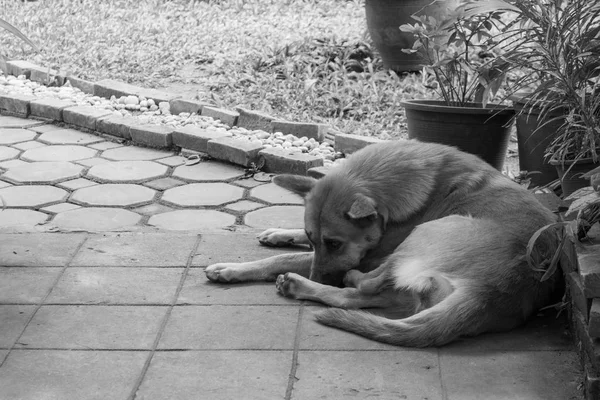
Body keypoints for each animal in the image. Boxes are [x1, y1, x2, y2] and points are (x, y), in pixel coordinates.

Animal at [204, 140, 560, 346]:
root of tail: (490, 292)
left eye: (335, 244)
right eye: (316, 238)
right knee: (363, 298)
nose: (319, 276)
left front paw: (231, 268)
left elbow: (282, 261)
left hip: (428, 232)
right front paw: (279, 232)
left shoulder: (368, 256)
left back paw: (304, 284)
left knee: (358, 290)